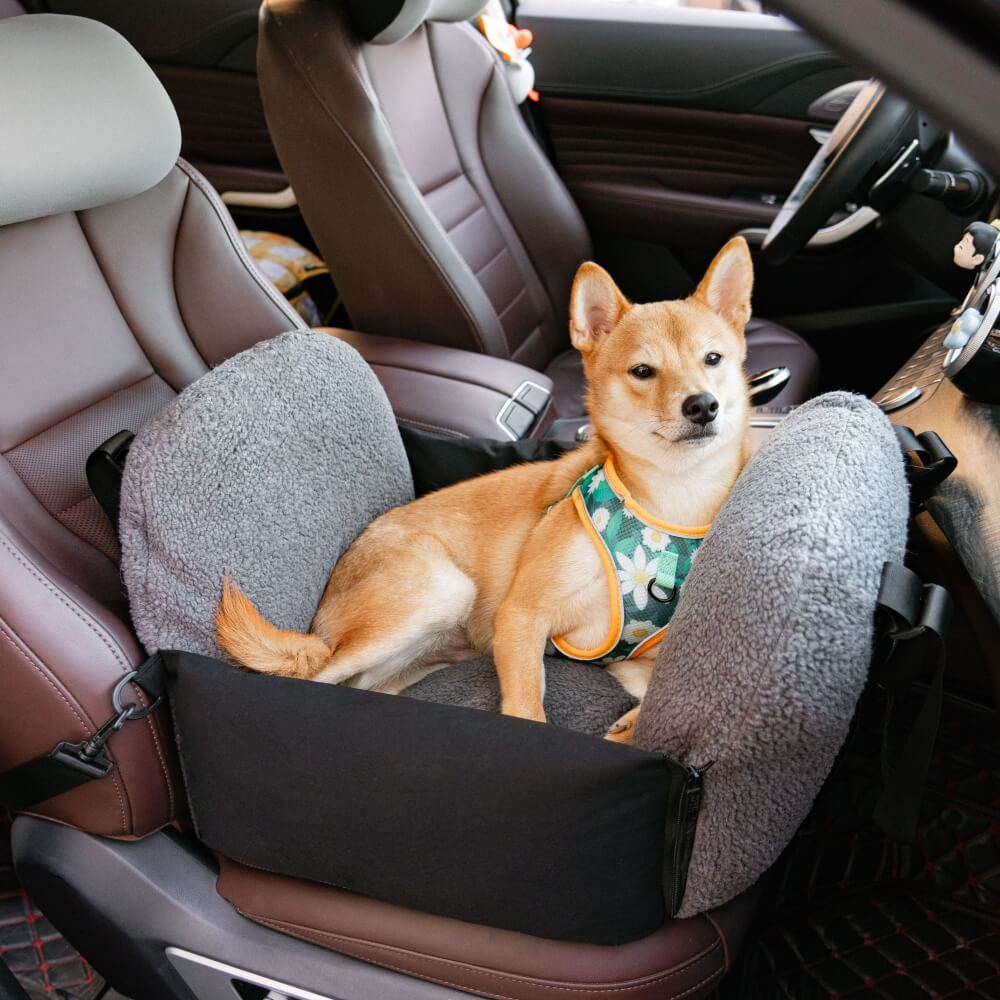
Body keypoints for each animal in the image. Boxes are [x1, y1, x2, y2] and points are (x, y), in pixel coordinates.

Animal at [217, 236, 752, 744]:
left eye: (713, 359)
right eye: (643, 371)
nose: (702, 405)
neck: (671, 501)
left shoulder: (634, 660)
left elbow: (659, 696)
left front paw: (632, 726)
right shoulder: (520, 617)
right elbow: (526, 706)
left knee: (364, 688)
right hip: (441, 589)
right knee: (313, 678)